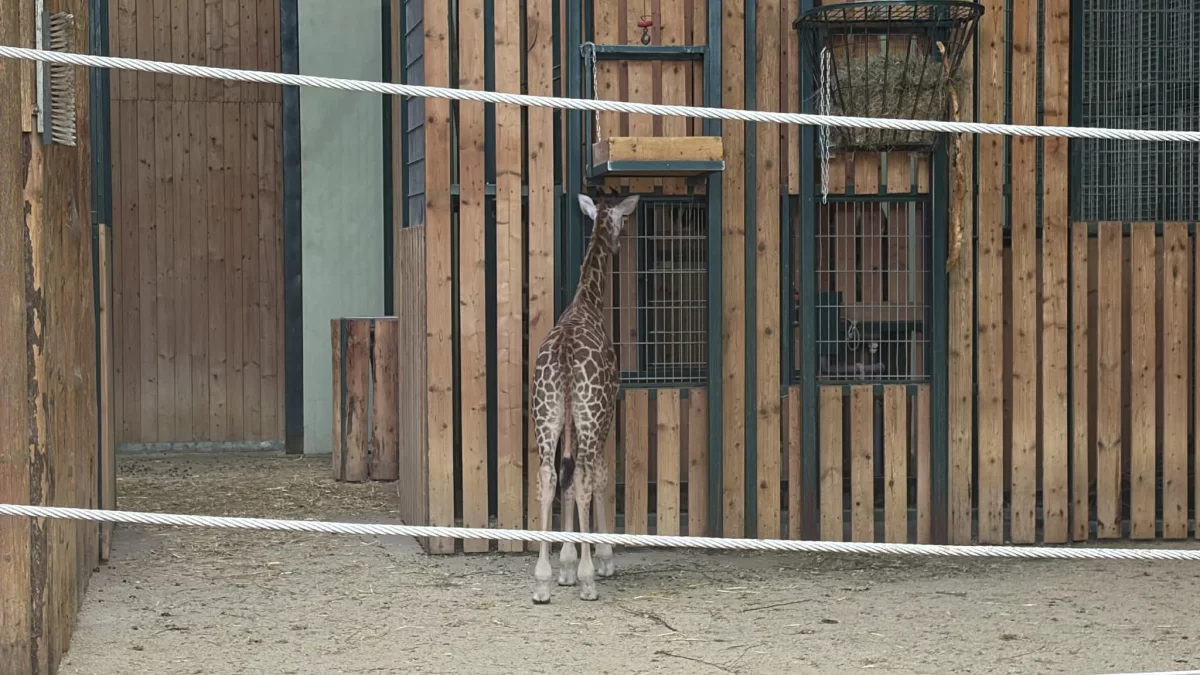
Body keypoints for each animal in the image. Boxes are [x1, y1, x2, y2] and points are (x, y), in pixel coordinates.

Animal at [530, 191, 639, 604]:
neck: (587, 299)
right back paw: (590, 579)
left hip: (545, 413)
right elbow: (601, 477)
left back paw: (542, 581)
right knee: (584, 477)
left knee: (548, 477)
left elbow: (566, 476)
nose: (618, 244)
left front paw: (565, 566)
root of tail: (563, 356)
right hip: (591, 412)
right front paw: (599, 562)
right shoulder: (604, 409)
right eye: (622, 220)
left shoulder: (569, 418)